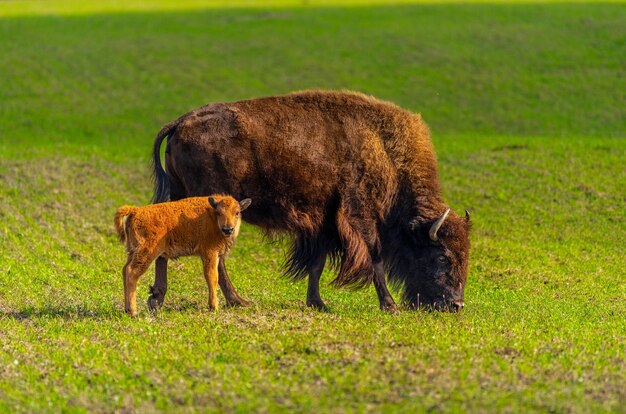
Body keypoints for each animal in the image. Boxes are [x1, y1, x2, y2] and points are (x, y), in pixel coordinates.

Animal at [113, 195, 250, 316]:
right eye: (219, 212)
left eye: (237, 212)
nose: (228, 229)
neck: (212, 217)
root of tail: (136, 211)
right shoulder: (209, 253)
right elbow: (212, 277)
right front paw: (214, 307)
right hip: (146, 253)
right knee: (132, 273)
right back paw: (133, 312)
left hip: (133, 252)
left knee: (125, 270)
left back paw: (127, 309)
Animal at [146, 90, 468, 310]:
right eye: (441, 255)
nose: (456, 304)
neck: (383, 150)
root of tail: (180, 123)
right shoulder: (360, 217)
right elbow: (374, 257)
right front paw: (390, 305)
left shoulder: (323, 221)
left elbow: (317, 263)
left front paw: (318, 302)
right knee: (215, 254)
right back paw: (237, 300)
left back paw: (157, 298)